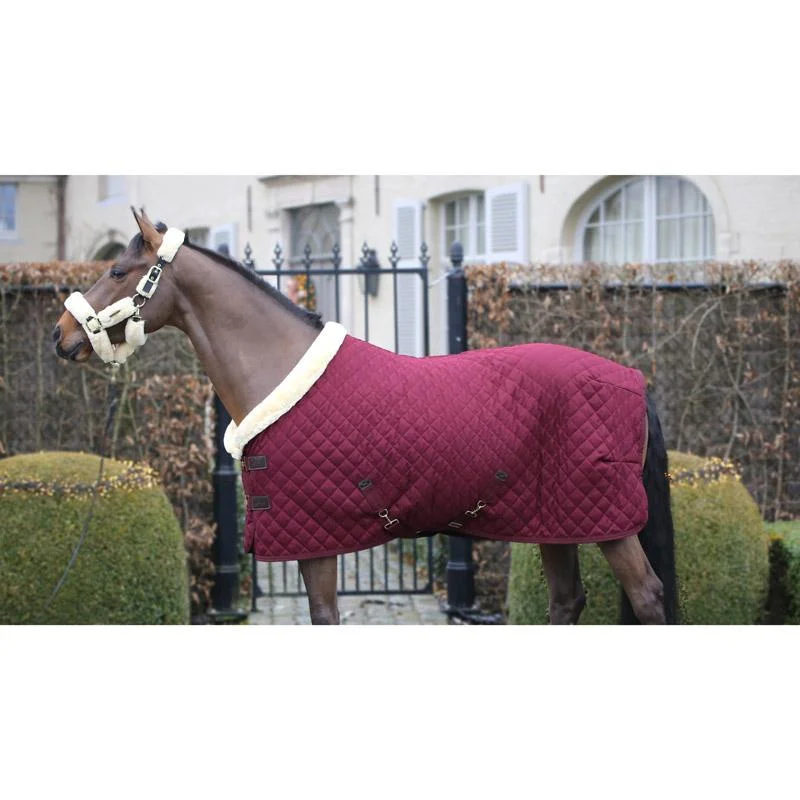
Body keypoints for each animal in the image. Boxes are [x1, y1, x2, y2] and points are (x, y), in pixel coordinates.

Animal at [53, 207, 677, 625]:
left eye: (117, 271)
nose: (60, 336)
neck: (280, 370)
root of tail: (628, 378)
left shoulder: (314, 542)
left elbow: (325, 616)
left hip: (609, 524)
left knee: (648, 597)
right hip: (556, 522)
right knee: (567, 600)